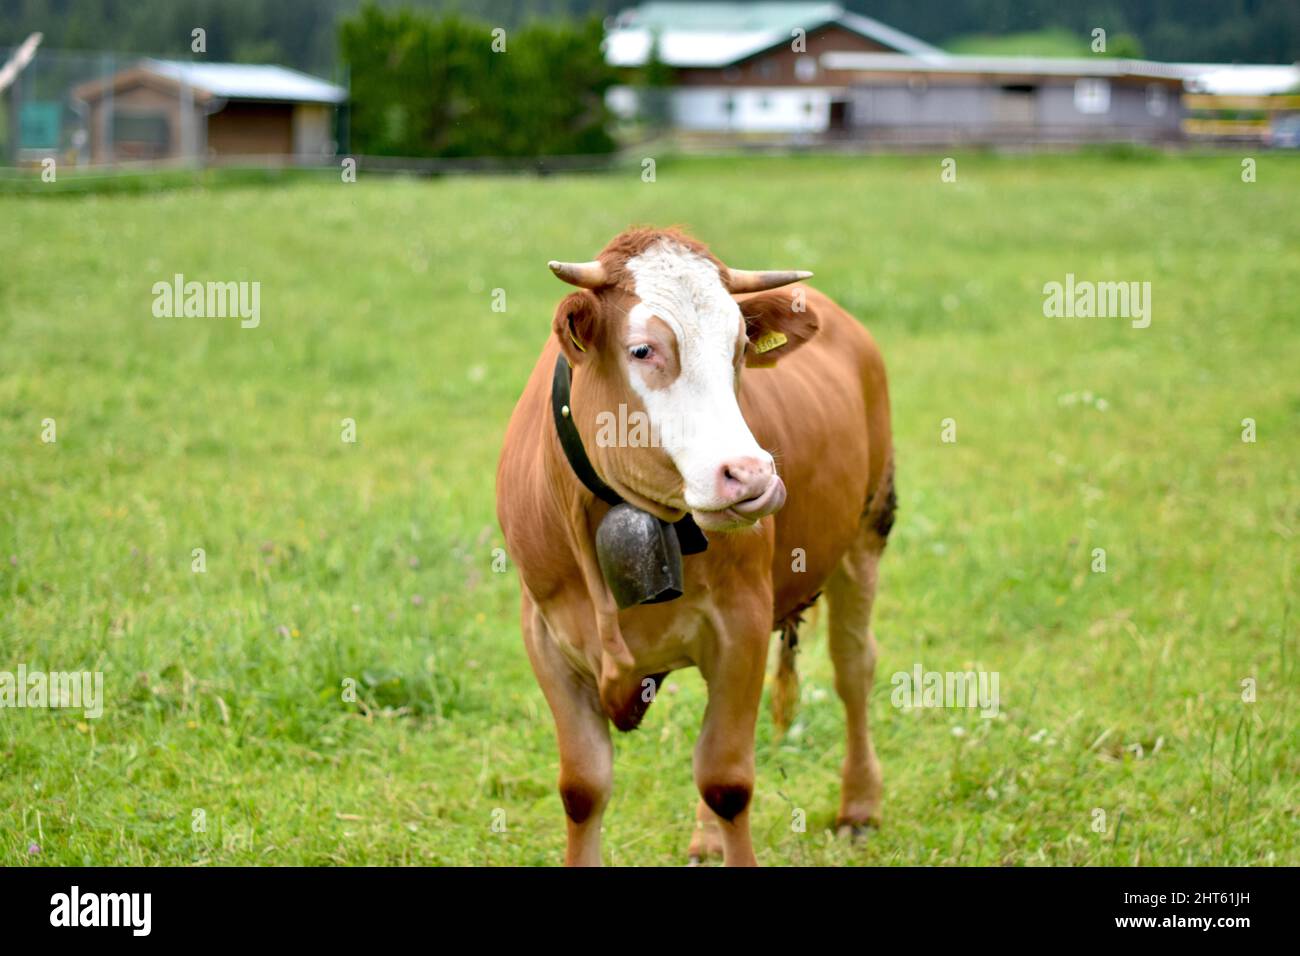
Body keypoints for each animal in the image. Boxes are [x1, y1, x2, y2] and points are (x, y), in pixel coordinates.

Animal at [496, 227, 895, 866]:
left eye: (739, 348)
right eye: (642, 350)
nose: (750, 475)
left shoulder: (742, 624)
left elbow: (726, 781)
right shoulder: (545, 635)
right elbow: (582, 788)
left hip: (867, 532)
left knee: (853, 666)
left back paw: (859, 806)